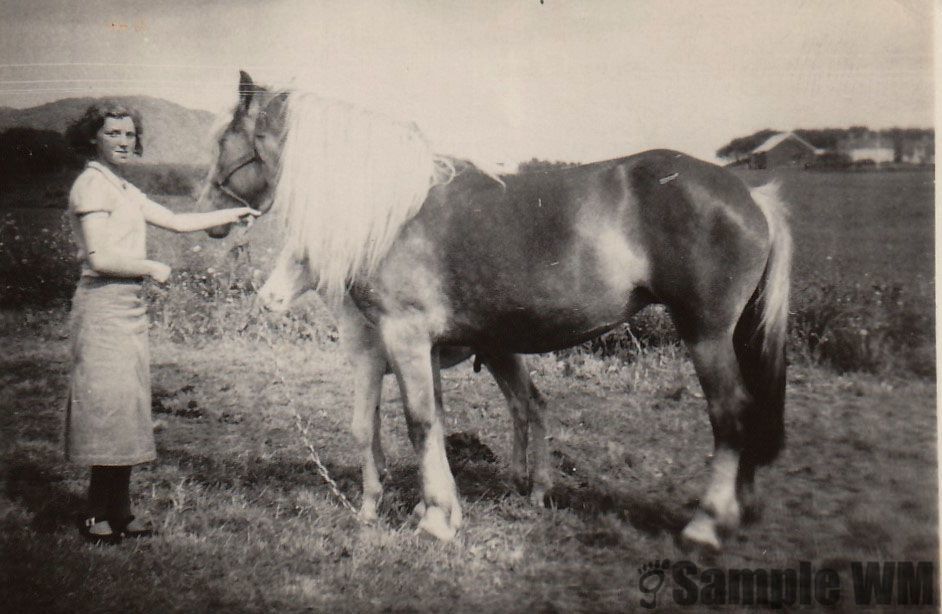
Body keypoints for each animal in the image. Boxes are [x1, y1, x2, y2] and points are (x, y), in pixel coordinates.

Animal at [199, 72, 788, 552]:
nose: (208, 213)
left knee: (731, 415)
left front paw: (436, 520)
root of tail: (751, 194)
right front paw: (438, 507)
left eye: (224, 141)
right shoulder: (421, 346)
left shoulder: (404, 335)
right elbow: (433, 420)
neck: (392, 210)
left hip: (706, 334)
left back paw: (706, 525)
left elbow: (419, 421)